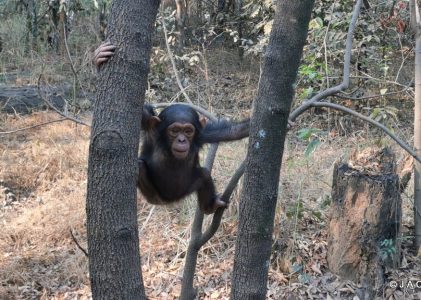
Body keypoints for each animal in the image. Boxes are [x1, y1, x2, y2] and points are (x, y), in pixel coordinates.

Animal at [92, 42, 249, 213]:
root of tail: (170, 201)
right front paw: (98, 59)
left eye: (188, 131)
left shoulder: (202, 134)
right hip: (155, 197)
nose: (181, 140)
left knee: (204, 174)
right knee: (140, 166)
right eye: (174, 131)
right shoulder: (151, 127)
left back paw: (210, 206)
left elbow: (232, 132)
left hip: (187, 189)